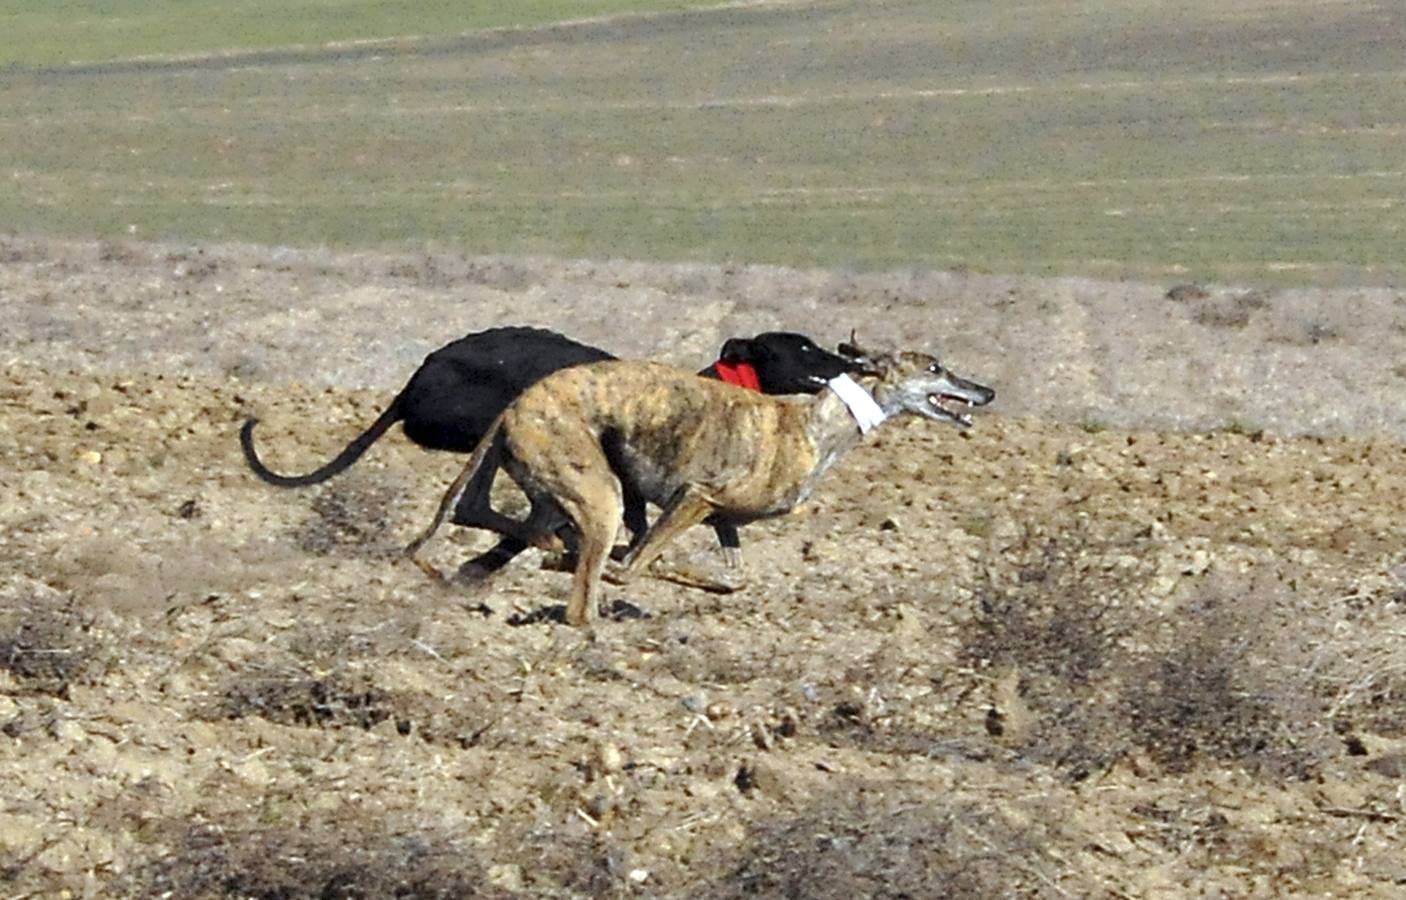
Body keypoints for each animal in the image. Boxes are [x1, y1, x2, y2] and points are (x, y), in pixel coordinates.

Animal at [410, 338, 995, 624]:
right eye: (935, 368)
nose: (986, 391)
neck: (811, 427)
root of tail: (517, 404)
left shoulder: (722, 518)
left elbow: (731, 579)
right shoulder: (696, 495)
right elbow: (636, 566)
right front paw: (623, 566)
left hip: (550, 484)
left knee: (480, 511)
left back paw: (551, 550)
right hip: (600, 494)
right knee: (579, 599)